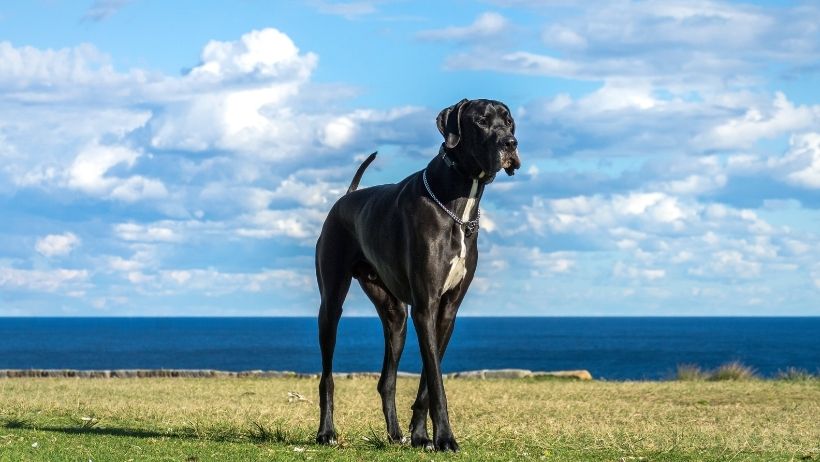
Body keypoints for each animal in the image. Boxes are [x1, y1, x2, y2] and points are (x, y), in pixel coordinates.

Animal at [314, 98, 520, 452]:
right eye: (481, 121)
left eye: (508, 122)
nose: (510, 143)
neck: (458, 202)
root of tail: (347, 197)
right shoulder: (426, 306)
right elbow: (437, 382)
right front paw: (445, 438)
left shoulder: (446, 310)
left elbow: (427, 380)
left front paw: (422, 436)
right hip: (330, 305)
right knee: (327, 377)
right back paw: (326, 432)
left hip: (395, 316)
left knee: (387, 381)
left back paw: (396, 435)